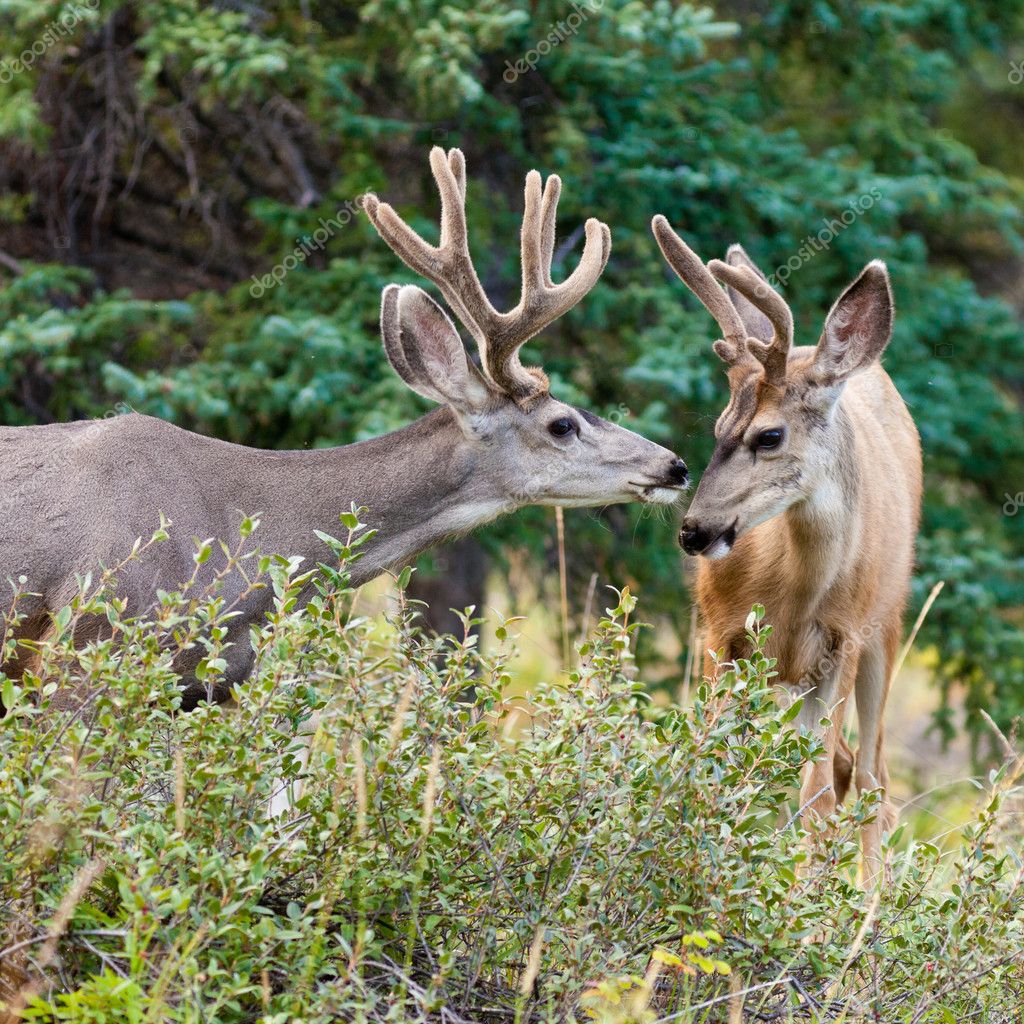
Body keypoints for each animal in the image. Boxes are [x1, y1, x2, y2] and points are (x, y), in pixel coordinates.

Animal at [651, 216, 925, 872]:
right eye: (717, 429)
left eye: (769, 435)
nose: (693, 530)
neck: (795, 593)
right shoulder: (720, 634)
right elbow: (713, 773)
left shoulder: (843, 642)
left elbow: (818, 799)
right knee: (849, 770)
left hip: (887, 627)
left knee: (872, 781)